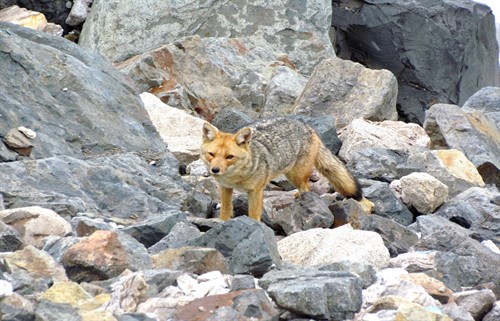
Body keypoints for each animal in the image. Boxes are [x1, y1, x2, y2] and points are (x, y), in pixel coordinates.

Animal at [199, 117, 372, 220]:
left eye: (229, 157)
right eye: (211, 154)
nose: (215, 170)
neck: (235, 178)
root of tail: (308, 127)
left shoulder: (256, 191)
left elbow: (253, 215)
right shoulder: (225, 188)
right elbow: (226, 210)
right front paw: (223, 223)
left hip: (295, 175)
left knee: (307, 187)